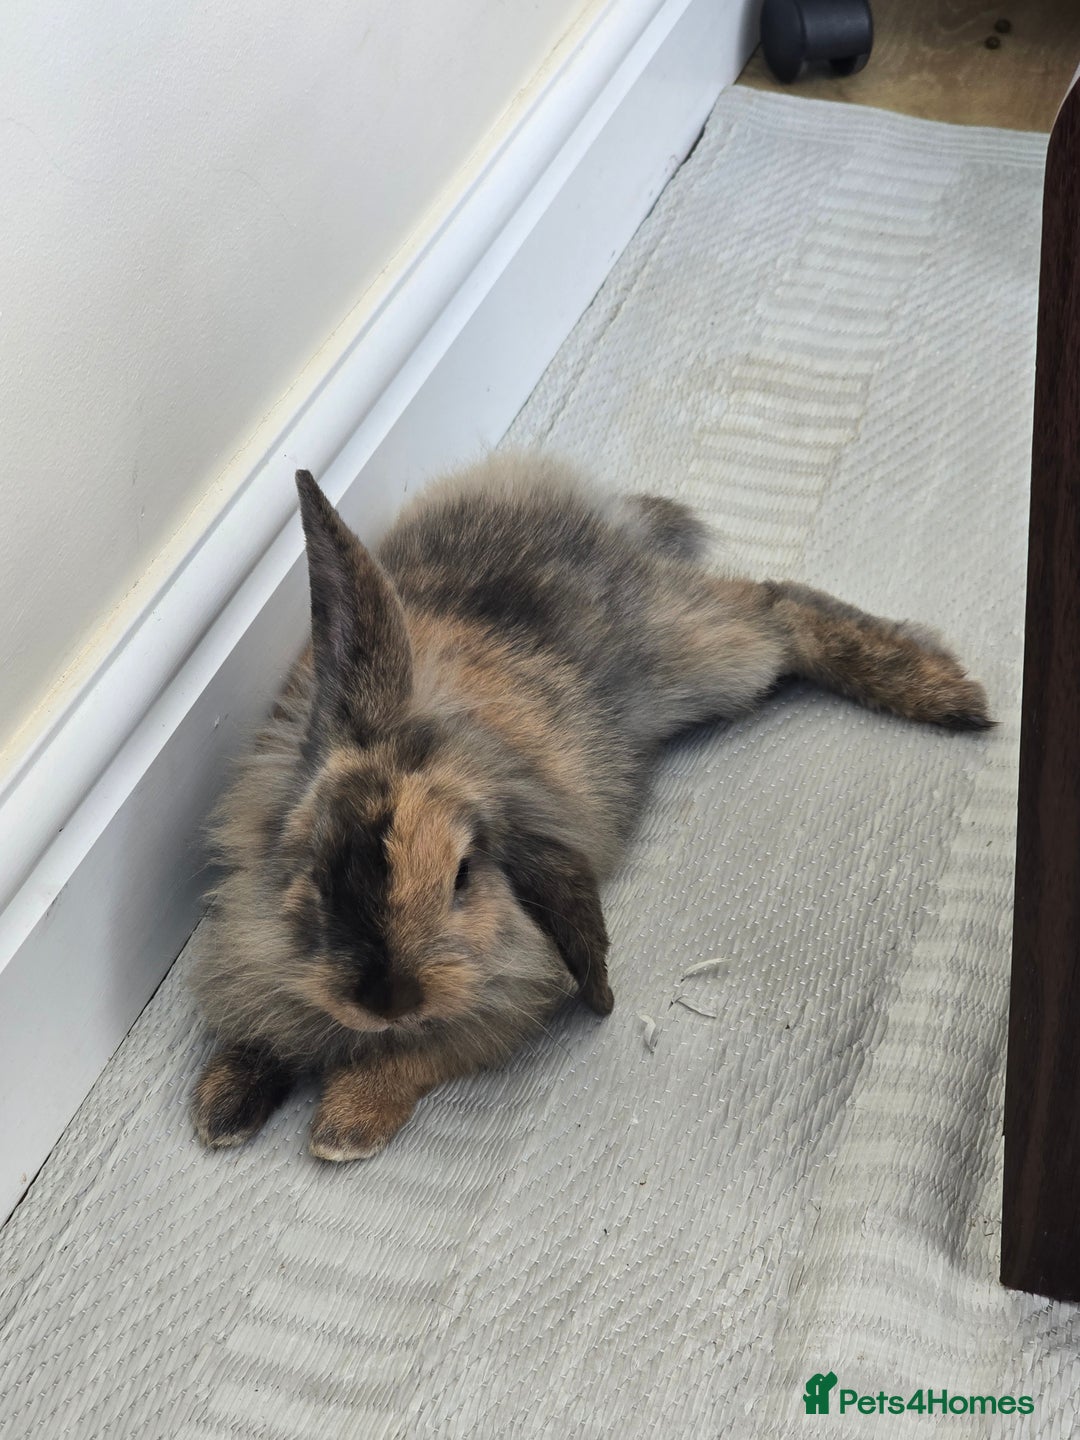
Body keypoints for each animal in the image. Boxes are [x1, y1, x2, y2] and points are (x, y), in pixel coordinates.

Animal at [190, 454, 991, 1161]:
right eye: (320, 872)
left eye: (462, 877)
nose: (389, 1001)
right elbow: (263, 1026)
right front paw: (220, 1109)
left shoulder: (509, 999)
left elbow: (418, 1057)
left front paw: (343, 1129)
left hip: (703, 659)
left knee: (776, 603)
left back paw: (946, 694)